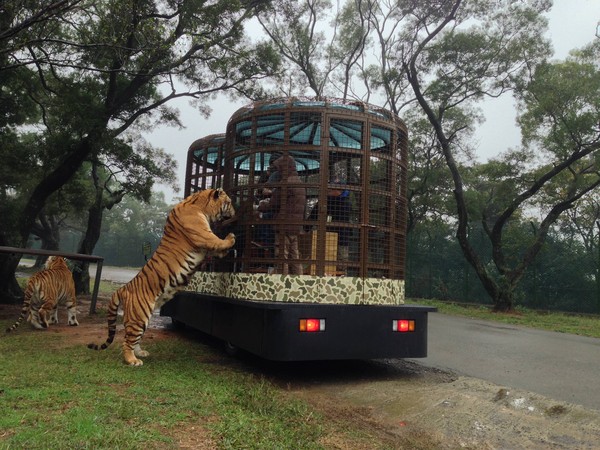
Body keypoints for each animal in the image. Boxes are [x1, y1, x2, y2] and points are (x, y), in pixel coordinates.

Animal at [88, 188, 236, 368]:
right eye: (229, 202)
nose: (235, 212)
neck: (199, 205)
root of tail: (123, 288)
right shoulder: (204, 235)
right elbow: (218, 241)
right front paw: (231, 236)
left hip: (142, 318)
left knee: (134, 339)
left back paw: (141, 353)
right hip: (139, 317)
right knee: (127, 341)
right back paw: (132, 360)